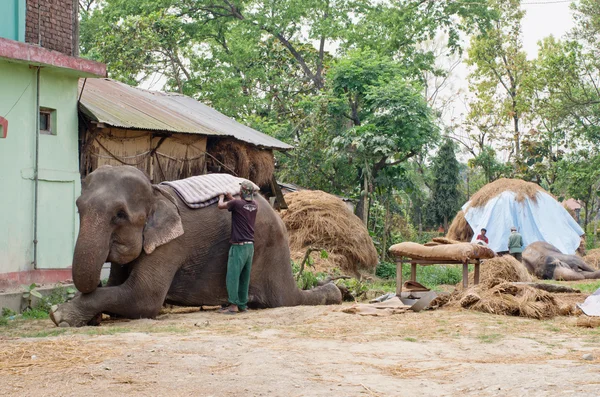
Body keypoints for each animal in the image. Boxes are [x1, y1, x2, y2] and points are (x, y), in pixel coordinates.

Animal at [50, 164, 342, 324]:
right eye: (78, 207)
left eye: (119, 215)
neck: (156, 192)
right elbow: (118, 285)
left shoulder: (172, 245)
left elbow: (143, 298)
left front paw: (59, 315)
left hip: (269, 247)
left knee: (285, 300)